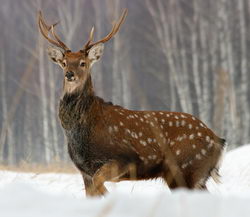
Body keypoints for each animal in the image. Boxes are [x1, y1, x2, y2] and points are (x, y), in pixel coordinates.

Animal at [37, 9, 227, 197]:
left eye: (83, 63)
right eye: (64, 63)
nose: (69, 74)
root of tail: (218, 141)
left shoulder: (124, 158)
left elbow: (101, 185)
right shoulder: (84, 171)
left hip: (186, 168)